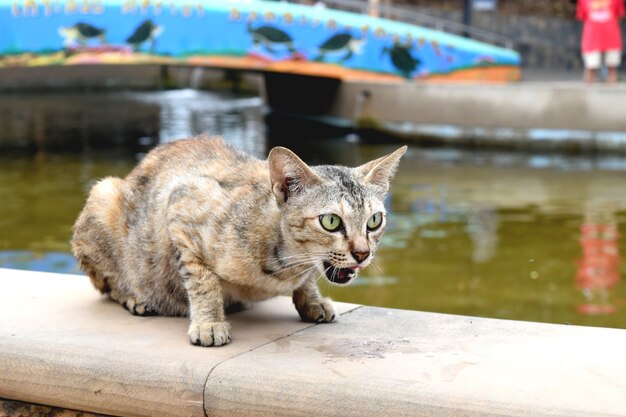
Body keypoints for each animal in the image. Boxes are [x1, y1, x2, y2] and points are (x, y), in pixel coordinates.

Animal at [72, 136, 404, 344]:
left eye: (374, 221)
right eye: (331, 221)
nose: (362, 253)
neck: (286, 265)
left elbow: (307, 282)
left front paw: (312, 300)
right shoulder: (180, 206)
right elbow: (202, 281)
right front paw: (209, 322)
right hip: (103, 195)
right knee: (107, 284)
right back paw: (136, 298)